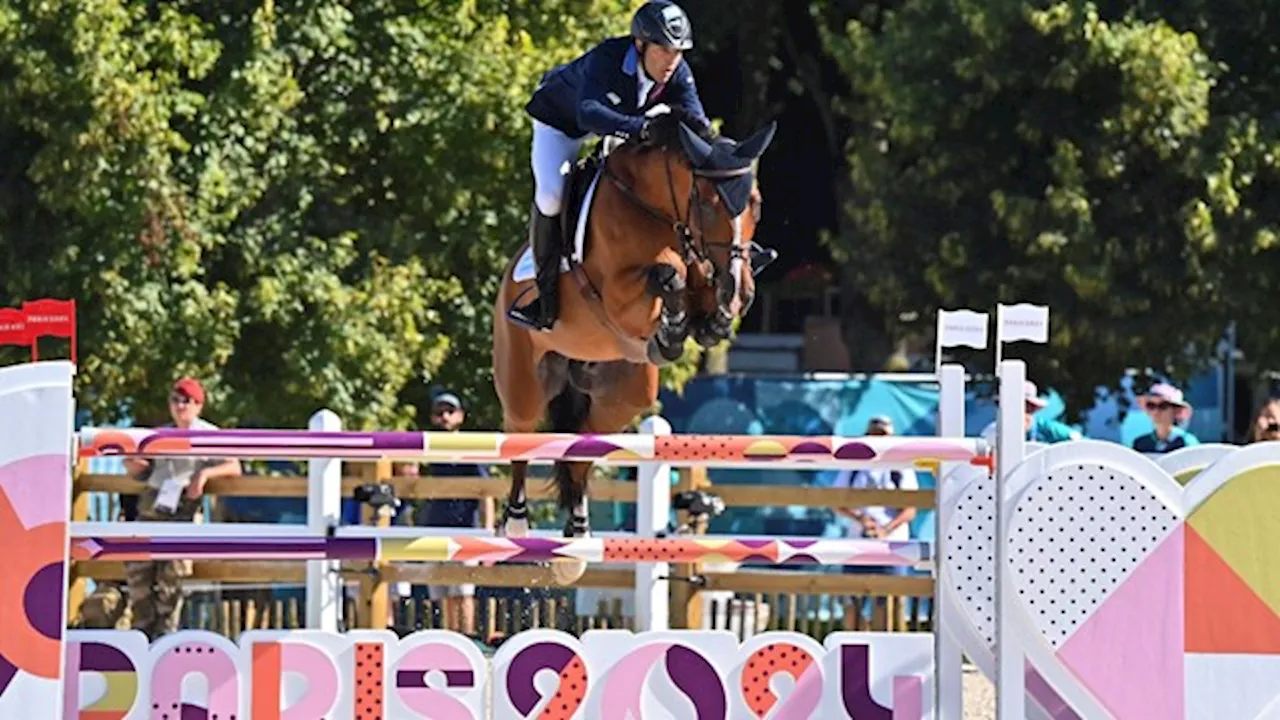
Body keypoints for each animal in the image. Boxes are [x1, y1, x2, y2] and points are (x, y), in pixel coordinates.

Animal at [488, 113, 773, 584]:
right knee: (521, 435)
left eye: (755, 203)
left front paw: (711, 318)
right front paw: (674, 324)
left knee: (581, 447)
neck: (654, 209)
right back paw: (516, 524)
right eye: (707, 204)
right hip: (523, 381)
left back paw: (576, 544)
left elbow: (696, 287)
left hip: (622, 395)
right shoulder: (620, 296)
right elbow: (669, 273)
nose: (736, 286)